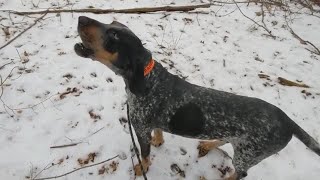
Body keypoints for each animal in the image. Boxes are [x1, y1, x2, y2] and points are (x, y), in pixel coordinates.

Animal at [75, 16, 320, 179]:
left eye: (114, 35)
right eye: (112, 24)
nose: (81, 17)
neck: (149, 79)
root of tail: (288, 121)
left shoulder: (141, 129)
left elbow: (145, 154)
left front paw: (143, 167)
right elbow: (159, 132)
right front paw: (159, 140)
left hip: (248, 154)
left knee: (241, 173)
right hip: (241, 143)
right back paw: (209, 144)